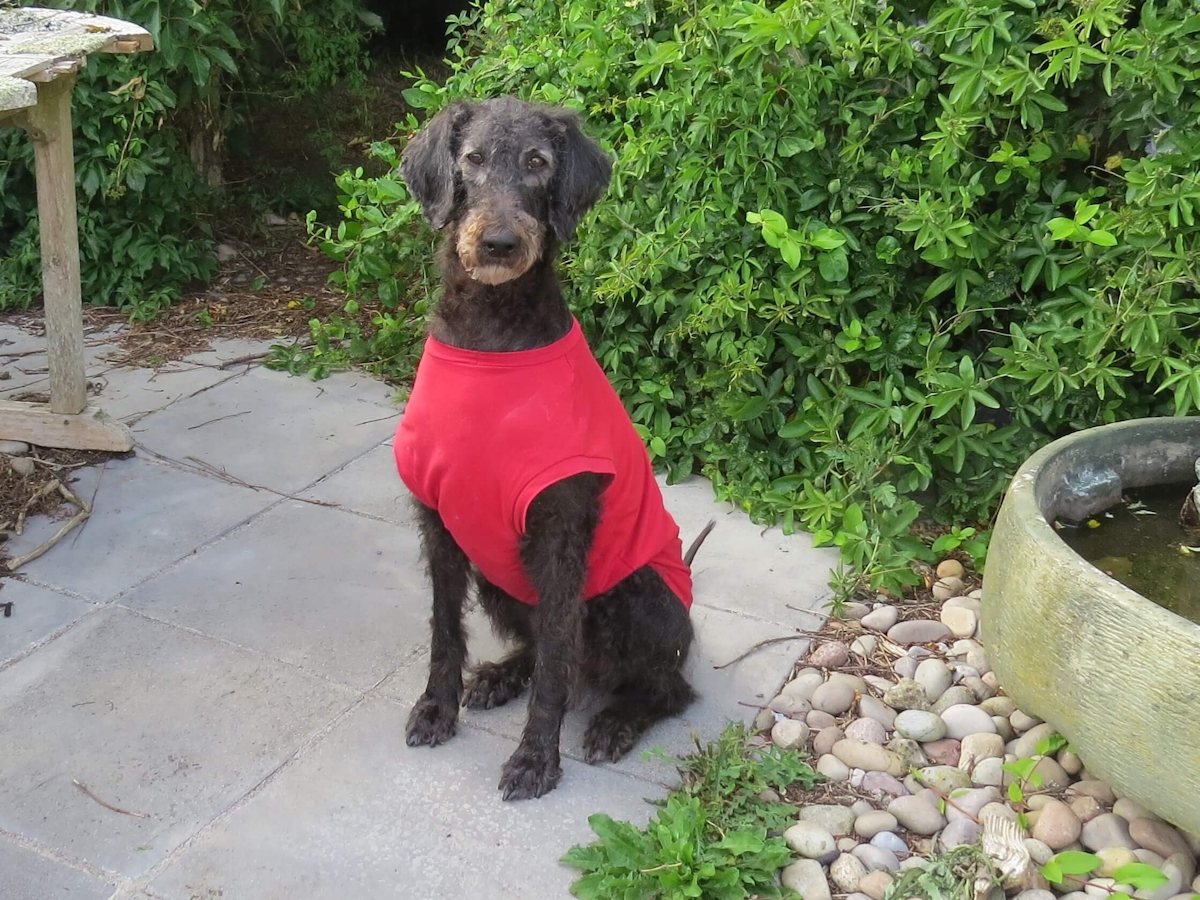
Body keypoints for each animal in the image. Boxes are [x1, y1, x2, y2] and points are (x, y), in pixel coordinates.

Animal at [393, 97, 710, 801]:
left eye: (538, 163)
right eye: (473, 158)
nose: (499, 243)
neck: (491, 334)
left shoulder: (562, 535)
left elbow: (557, 671)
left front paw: (536, 756)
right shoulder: (439, 525)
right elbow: (443, 630)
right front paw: (437, 707)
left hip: (636, 597)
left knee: (667, 688)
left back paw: (616, 721)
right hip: (499, 578)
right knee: (541, 648)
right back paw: (502, 675)